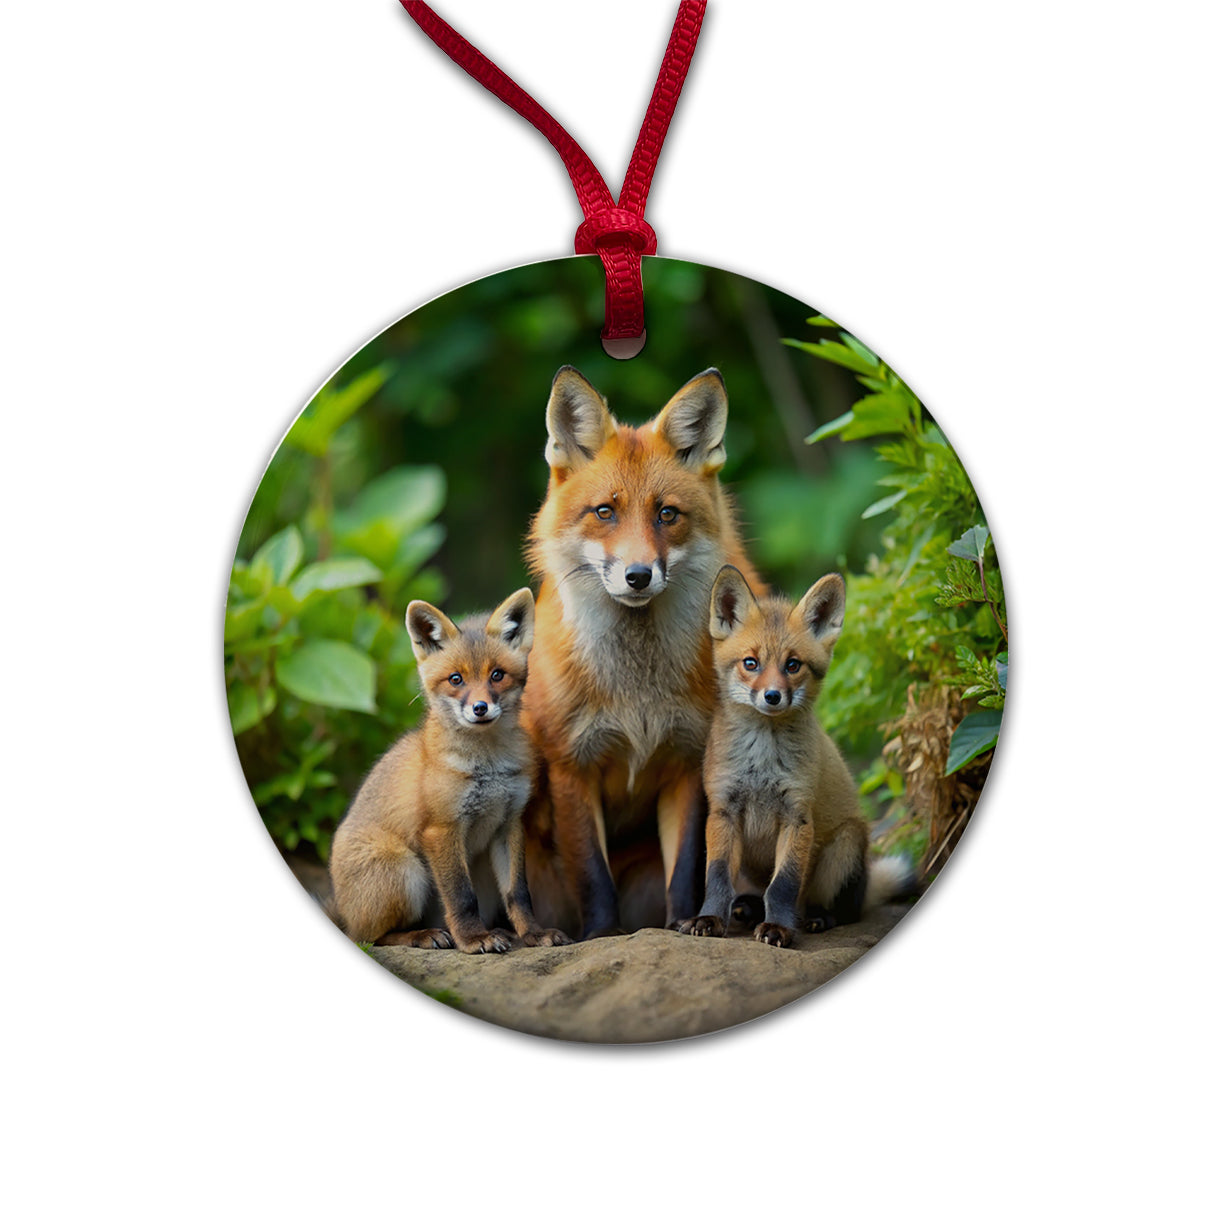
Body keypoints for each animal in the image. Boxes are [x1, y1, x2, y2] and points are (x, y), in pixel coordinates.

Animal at [328, 588, 570, 952]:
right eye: (456, 679)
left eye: (497, 675)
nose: (480, 708)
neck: (488, 767)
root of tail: (340, 911)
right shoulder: (442, 829)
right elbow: (460, 897)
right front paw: (472, 940)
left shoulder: (509, 823)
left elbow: (519, 893)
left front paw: (532, 933)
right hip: (406, 872)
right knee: (369, 938)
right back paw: (423, 935)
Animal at [521, 366, 765, 939]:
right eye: (605, 512)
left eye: (667, 514)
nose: (638, 575)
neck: (637, 692)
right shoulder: (572, 765)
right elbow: (592, 874)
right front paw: (600, 936)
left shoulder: (688, 761)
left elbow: (688, 866)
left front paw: (684, 925)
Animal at [677, 565, 915, 948]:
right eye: (751, 663)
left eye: (792, 665)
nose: (773, 696)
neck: (761, 761)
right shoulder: (723, 810)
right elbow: (716, 878)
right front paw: (709, 919)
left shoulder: (797, 815)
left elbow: (784, 885)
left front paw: (779, 929)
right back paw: (748, 908)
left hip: (845, 846)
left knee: (840, 909)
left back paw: (816, 917)